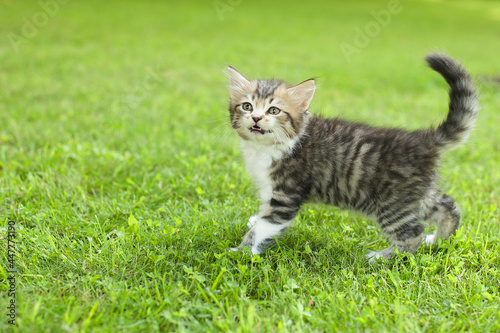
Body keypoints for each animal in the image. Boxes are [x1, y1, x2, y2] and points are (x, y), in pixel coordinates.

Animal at [226, 53, 476, 262]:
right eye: (247, 106)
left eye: (274, 111)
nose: (256, 118)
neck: (266, 147)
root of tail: (423, 139)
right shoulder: (270, 190)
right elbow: (261, 218)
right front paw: (251, 227)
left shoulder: (285, 195)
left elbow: (264, 227)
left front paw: (240, 253)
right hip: (415, 196)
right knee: (448, 206)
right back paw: (437, 239)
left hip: (391, 203)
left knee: (411, 233)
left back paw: (382, 257)